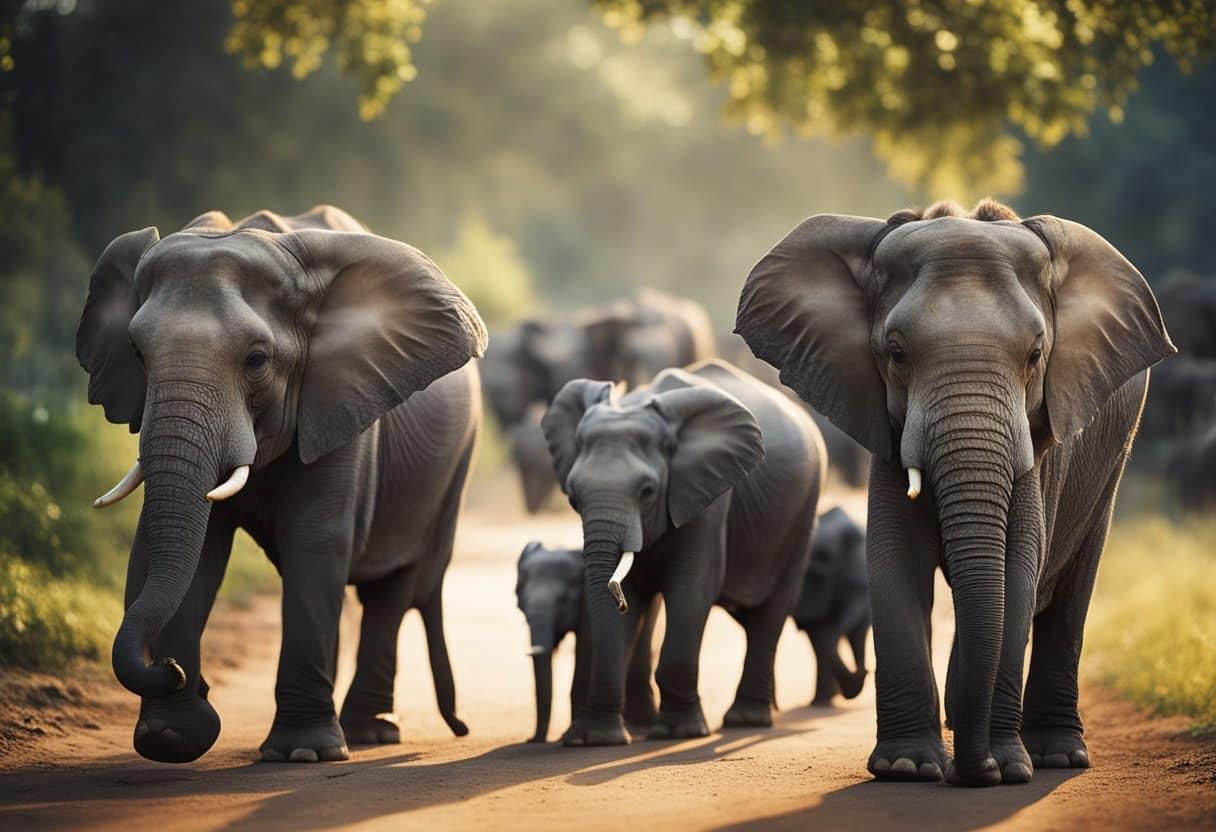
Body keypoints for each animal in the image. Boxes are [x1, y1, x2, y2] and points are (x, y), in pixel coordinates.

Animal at [73, 204, 483, 763]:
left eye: (257, 360)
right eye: (136, 352)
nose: (170, 669)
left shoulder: (341, 404)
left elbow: (315, 541)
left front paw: (302, 754)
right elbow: (188, 549)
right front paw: (169, 738)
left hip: (451, 468)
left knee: (392, 585)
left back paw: (367, 735)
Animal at [542, 360, 826, 744]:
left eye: (648, 491)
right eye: (573, 495)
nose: (619, 602)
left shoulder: (708, 496)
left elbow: (691, 591)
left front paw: (679, 732)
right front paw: (597, 740)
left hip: (803, 511)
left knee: (773, 608)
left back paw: (745, 720)